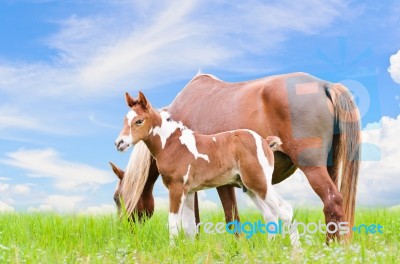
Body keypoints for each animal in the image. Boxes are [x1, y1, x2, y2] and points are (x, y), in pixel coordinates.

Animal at [117, 92, 298, 246]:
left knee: (285, 211)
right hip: (251, 188)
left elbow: (173, 224)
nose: (119, 143)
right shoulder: (189, 192)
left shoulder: (176, 189)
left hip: (259, 183)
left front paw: (172, 250)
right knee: (270, 215)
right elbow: (190, 227)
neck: (172, 145)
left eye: (139, 121)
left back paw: (296, 251)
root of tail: (264, 141)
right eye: (125, 120)